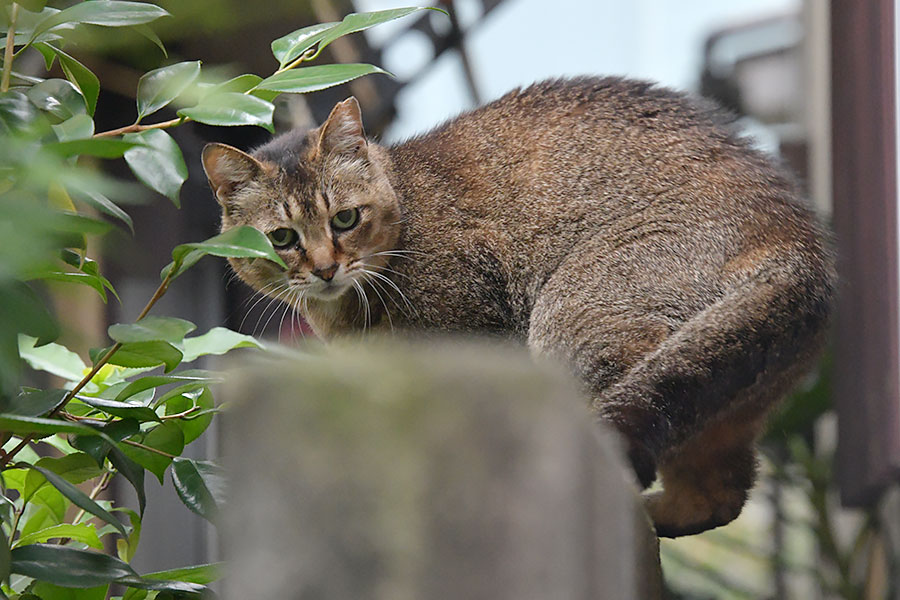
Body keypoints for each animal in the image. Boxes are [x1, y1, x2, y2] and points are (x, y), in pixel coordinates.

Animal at [200, 77, 832, 536]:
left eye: (345, 219)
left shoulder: (475, 334)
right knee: (720, 493)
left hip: (580, 316)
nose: (326, 268)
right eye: (282, 239)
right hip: (716, 390)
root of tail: (798, 245)